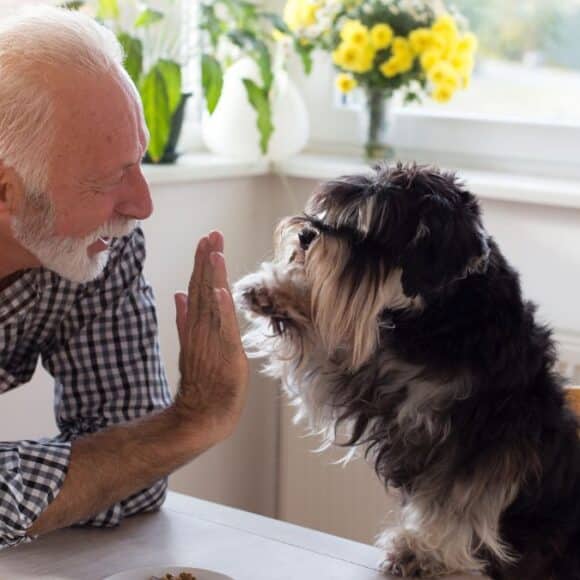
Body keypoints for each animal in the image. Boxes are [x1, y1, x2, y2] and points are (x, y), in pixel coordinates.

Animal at [233, 163, 576, 580]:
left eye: (370, 231)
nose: (306, 234)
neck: (442, 316)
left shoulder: (480, 442)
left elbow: (455, 503)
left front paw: (425, 556)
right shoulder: (373, 378)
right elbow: (327, 345)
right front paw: (273, 290)